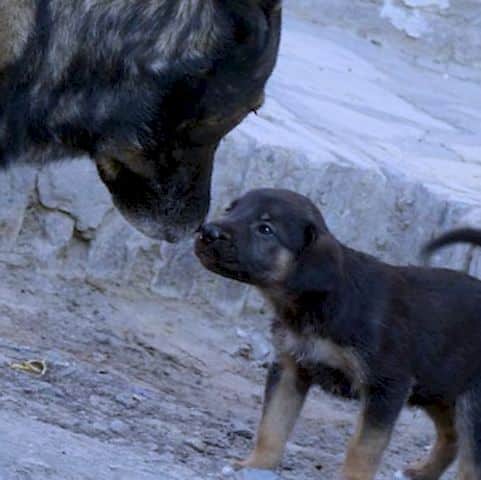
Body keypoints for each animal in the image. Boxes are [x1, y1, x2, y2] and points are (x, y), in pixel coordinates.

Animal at [196, 188, 481, 480]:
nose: (207, 231)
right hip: (440, 389)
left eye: (265, 229)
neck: (320, 303)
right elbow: (272, 425)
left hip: (470, 405)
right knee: (451, 438)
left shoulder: (386, 385)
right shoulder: (289, 367)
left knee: (470, 460)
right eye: (231, 210)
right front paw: (255, 464)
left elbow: (363, 448)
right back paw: (421, 472)